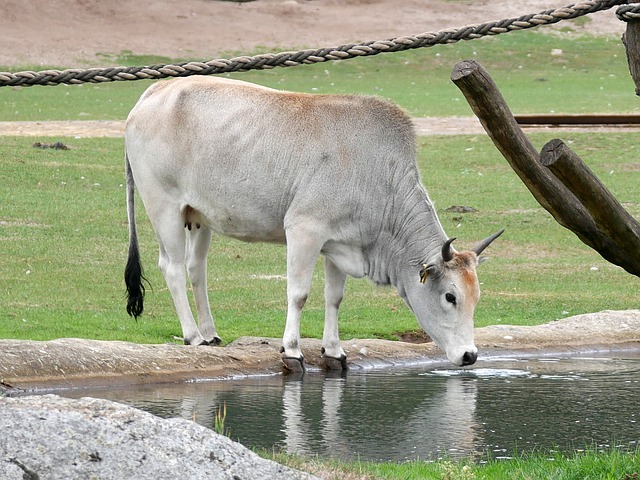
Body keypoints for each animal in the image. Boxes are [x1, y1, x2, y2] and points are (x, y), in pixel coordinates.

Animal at [124, 76, 504, 372]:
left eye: (476, 297)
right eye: (450, 296)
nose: (470, 355)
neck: (376, 175)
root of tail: (157, 90)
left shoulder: (339, 244)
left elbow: (333, 298)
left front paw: (334, 351)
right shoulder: (304, 230)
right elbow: (299, 293)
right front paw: (292, 351)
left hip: (198, 216)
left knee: (195, 268)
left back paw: (209, 332)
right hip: (164, 207)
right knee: (172, 267)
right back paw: (193, 336)